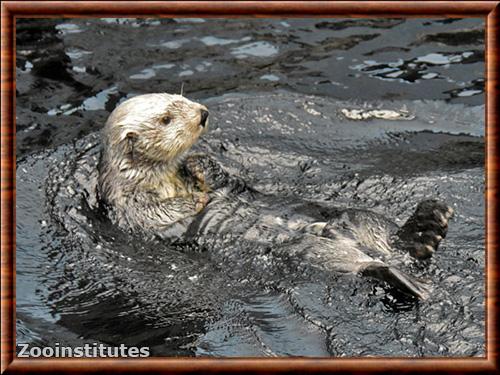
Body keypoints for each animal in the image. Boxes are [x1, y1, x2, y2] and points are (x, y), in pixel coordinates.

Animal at [96, 93, 454, 300]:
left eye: (178, 97)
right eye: (166, 119)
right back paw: (412, 275)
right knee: (369, 266)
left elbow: (222, 177)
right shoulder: (129, 211)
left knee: (392, 239)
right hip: (318, 254)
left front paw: (199, 164)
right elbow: (159, 213)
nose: (202, 113)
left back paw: (430, 223)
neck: (168, 179)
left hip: (358, 217)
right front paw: (195, 199)